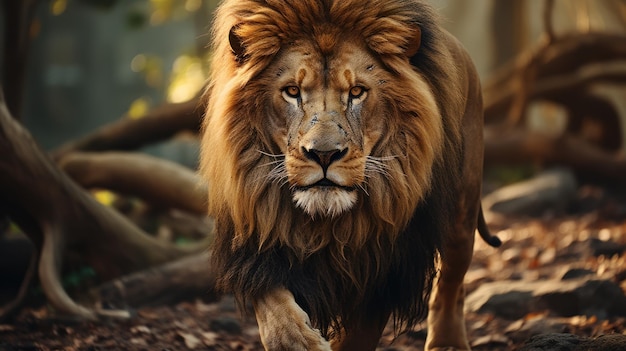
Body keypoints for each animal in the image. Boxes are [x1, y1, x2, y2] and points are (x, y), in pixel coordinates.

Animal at [201, 0, 502, 351]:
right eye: (292, 91)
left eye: (357, 91)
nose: (323, 154)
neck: (326, 225)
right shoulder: (258, 239)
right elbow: (274, 306)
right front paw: (298, 339)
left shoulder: (384, 269)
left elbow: (357, 336)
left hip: (461, 214)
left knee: (452, 280)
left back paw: (447, 341)